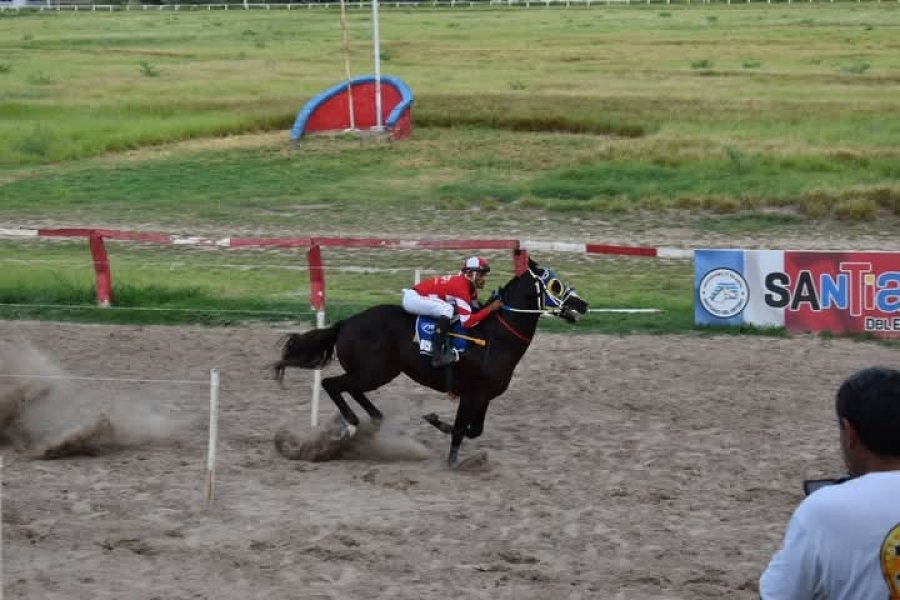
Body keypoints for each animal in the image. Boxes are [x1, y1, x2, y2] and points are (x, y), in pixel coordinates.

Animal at [270, 255, 588, 466]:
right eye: (556, 285)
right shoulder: (472, 394)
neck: (494, 337)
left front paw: (436, 421)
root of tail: (345, 323)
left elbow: (473, 430)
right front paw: (452, 460)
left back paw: (372, 421)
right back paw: (352, 422)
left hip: (376, 372)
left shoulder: (483, 396)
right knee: (332, 383)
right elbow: (461, 430)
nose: (583, 305)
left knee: (351, 389)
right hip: (374, 372)